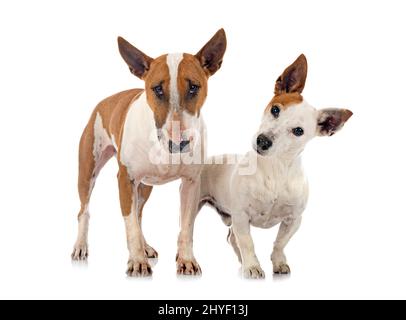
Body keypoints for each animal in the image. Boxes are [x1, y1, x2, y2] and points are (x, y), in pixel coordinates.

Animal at [71, 28, 227, 276]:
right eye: (157, 89)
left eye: (194, 87)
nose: (178, 144)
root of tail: (105, 100)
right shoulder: (125, 180)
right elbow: (130, 226)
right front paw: (136, 262)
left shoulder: (191, 183)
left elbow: (186, 226)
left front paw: (186, 260)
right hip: (88, 170)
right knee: (85, 211)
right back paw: (80, 246)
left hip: (145, 187)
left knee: (139, 213)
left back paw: (146, 247)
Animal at [197, 54, 352, 278]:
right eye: (275, 109)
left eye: (298, 131)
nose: (263, 140)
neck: (275, 169)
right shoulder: (241, 216)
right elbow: (248, 243)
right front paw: (252, 266)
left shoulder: (293, 220)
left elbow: (280, 243)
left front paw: (278, 262)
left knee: (232, 237)